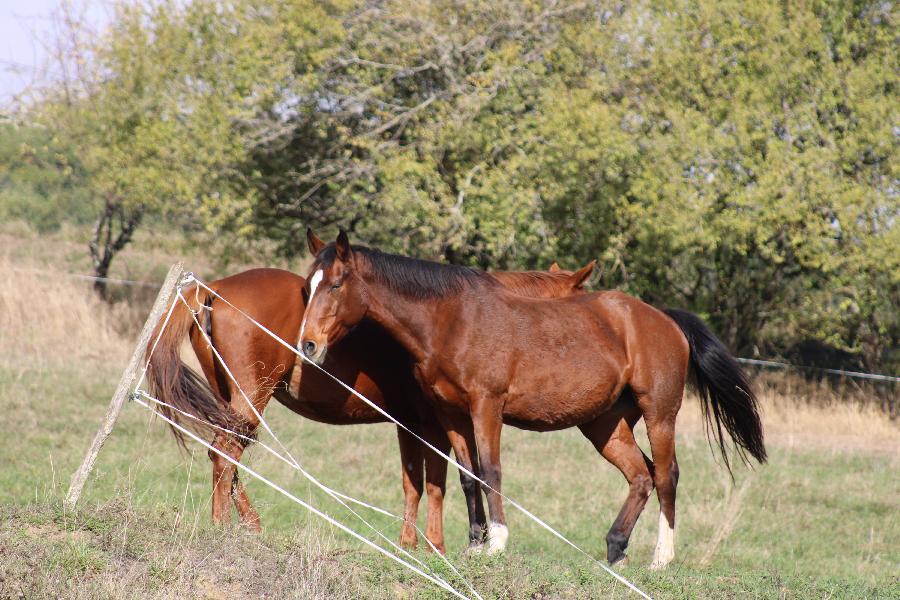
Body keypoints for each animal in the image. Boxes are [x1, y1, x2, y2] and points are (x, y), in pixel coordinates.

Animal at [142, 239, 592, 552]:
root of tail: (212, 288)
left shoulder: (411, 424)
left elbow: (417, 483)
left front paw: (411, 544)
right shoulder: (433, 424)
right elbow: (438, 483)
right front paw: (437, 547)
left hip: (230, 398)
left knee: (224, 453)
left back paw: (249, 524)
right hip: (252, 395)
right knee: (225, 453)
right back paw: (223, 527)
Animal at [298, 232, 764, 568]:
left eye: (336, 284)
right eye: (307, 288)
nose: (308, 345)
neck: (452, 320)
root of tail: (664, 319)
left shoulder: (486, 407)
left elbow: (491, 471)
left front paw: (497, 542)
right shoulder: (451, 414)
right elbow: (468, 476)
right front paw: (474, 544)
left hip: (659, 414)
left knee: (666, 475)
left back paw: (661, 557)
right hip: (605, 425)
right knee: (640, 476)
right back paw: (615, 547)